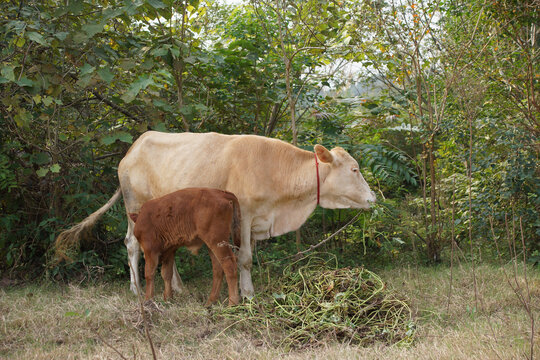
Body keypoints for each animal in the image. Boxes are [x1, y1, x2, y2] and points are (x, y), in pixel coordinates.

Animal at [56, 131, 376, 296]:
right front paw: (248, 295)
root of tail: (133, 148)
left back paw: (178, 287)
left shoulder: (256, 220)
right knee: (132, 244)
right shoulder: (243, 214)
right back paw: (136, 289)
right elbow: (244, 259)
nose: (373, 197)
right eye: (354, 169)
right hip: (134, 205)